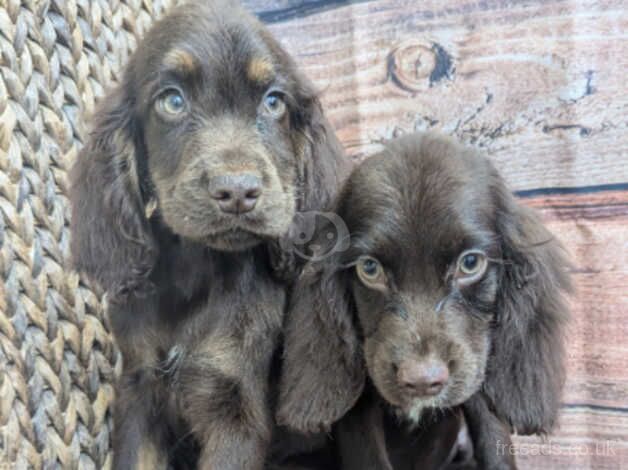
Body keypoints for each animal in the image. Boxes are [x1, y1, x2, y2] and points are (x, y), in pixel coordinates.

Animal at [72, 1, 350, 468]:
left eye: (273, 102)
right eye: (172, 101)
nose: (237, 192)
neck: (197, 272)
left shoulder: (234, 405)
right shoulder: (140, 389)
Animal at [278, 133, 572, 470]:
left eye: (470, 263)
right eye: (369, 269)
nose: (421, 382)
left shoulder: (478, 375)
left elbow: (495, 443)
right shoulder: (359, 413)